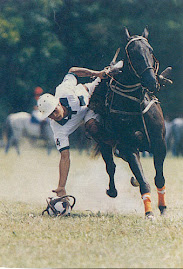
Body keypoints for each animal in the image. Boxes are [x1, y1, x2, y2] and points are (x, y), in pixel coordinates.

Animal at [87, 27, 172, 218]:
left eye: (150, 50)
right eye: (133, 53)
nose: (151, 82)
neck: (136, 104)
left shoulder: (160, 144)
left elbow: (159, 178)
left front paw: (162, 208)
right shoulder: (130, 146)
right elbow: (143, 180)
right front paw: (149, 213)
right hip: (103, 140)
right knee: (111, 166)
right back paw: (112, 190)